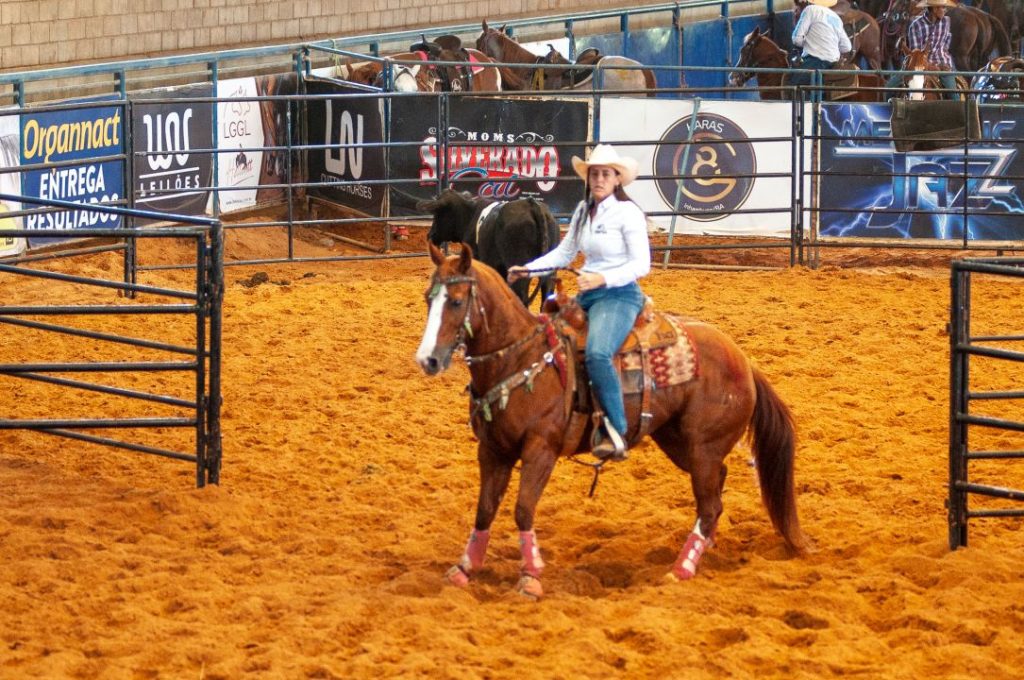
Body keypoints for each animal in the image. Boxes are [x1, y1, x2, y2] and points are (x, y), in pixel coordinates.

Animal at [415, 242, 806, 593]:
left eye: (456, 301)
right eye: (428, 299)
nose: (427, 360)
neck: (521, 359)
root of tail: (743, 360)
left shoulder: (540, 450)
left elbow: (523, 509)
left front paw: (531, 576)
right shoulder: (493, 450)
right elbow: (484, 509)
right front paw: (464, 569)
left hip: (703, 448)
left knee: (710, 504)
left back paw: (681, 569)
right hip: (679, 442)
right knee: (716, 490)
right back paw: (703, 547)